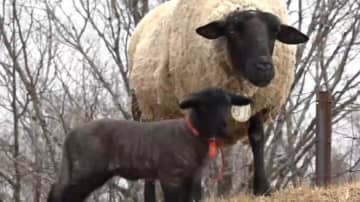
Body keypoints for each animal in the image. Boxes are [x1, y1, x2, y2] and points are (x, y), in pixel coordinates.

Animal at [129, 0, 310, 199]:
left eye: (275, 32)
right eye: (232, 32)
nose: (263, 68)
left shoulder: (258, 104)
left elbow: (257, 138)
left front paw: (262, 189)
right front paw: (195, 194)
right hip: (145, 109)